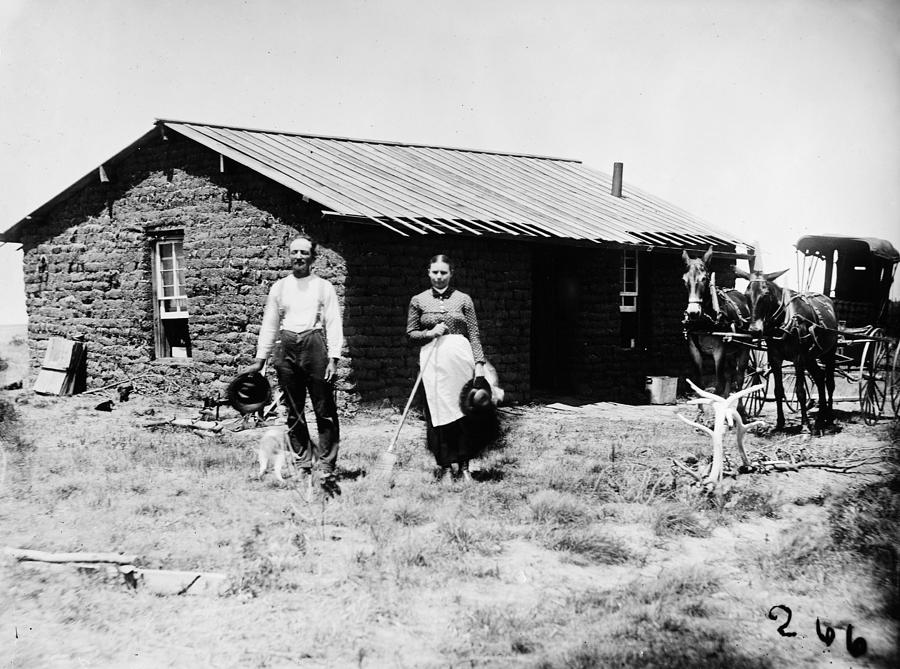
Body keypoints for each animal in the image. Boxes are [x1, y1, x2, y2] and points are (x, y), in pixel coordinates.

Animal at [684, 248, 752, 410]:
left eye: (704, 279)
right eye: (684, 280)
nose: (693, 312)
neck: (705, 321)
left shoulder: (719, 351)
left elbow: (719, 385)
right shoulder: (694, 350)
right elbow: (700, 385)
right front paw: (700, 412)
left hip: (744, 348)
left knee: (739, 377)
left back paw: (740, 409)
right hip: (731, 351)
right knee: (730, 374)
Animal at [736, 268, 840, 434]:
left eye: (765, 294)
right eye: (746, 295)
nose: (754, 331)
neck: (784, 319)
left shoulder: (798, 358)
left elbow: (800, 391)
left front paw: (805, 425)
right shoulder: (775, 358)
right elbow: (778, 390)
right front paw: (780, 423)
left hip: (828, 353)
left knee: (829, 383)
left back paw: (828, 419)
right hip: (810, 357)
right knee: (819, 377)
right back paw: (820, 419)